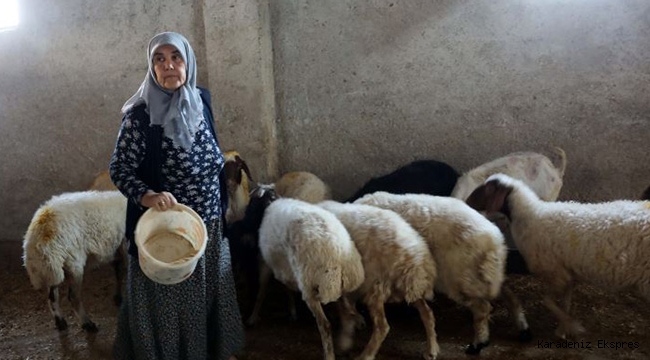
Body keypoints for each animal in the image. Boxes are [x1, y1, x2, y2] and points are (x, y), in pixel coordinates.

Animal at [22, 191, 126, 332]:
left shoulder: (117, 251)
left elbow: (119, 272)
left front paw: (118, 297)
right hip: (73, 262)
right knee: (73, 297)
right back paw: (88, 324)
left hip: (51, 269)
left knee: (52, 297)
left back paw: (60, 322)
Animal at [237, 188, 364, 360]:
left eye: (251, 202)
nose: (242, 224)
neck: (270, 203)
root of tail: (338, 256)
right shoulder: (285, 268)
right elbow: (286, 288)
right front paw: (292, 312)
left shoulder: (265, 262)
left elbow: (261, 291)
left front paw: (252, 318)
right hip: (340, 289)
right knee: (348, 314)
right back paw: (344, 343)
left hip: (310, 286)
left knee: (325, 325)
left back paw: (329, 354)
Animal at [316, 200, 438, 360]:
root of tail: (415, 261)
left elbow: (345, 310)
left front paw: (344, 341)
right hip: (408, 289)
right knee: (427, 313)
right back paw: (432, 349)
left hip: (377, 286)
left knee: (382, 327)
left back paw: (366, 355)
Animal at [352, 191, 528, 354]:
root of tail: (493, 242)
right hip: (483, 278)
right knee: (510, 297)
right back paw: (523, 329)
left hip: (459, 279)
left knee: (482, 308)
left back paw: (478, 343)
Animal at [464, 173, 648, 338]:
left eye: (488, 188)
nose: (466, 202)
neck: (530, 217)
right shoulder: (567, 273)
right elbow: (565, 302)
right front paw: (563, 330)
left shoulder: (556, 272)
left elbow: (547, 301)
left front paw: (571, 325)